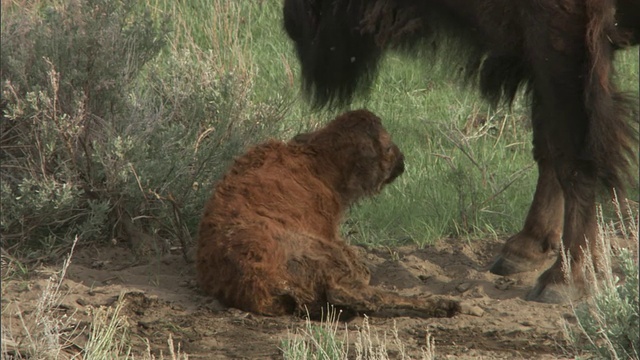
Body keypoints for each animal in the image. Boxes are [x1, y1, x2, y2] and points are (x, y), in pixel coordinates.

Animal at [195, 109, 460, 318]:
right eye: (386, 145)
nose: (402, 162)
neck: (317, 162)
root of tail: (254, 280)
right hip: (322, 254)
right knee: (361, 295)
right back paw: (444, 305)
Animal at [282, 0, 640, 302]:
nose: (290, 22)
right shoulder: (540, 49)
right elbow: (548, 146)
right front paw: (524, 250)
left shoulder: (565, 33)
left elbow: (575, 157)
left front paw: (563, 281)